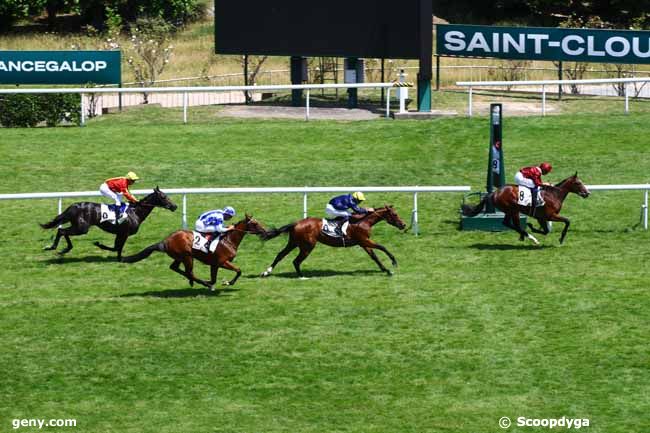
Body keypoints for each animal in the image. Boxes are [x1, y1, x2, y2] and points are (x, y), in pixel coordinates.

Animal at [40, 186, 177, 260]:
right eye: (164, 197)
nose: (174, 206)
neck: (135, 212)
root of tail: (73, 206)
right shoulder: (125, 233)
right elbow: (118, 247)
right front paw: (117, 257)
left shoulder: (120, 233)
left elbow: (116, 247)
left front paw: (100, 245)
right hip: (82, 228)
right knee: (61, 230)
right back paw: (53, 247)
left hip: (78, 226)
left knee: (63, 231)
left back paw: (64, 249)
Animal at [120, 213, 264, 290]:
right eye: (255, 224)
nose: (265, 231)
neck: (228, 240)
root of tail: (165, 241)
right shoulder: (222, 262)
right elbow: (239, 270)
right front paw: (228, 282)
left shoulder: (214, 264)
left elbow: (214, 277)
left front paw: (216, 283)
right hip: (187, 256)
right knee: (189, 272)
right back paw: (201, 282)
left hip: (180, 257)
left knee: (175, 268)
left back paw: (194, 281)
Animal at [260, 205, 404, 278]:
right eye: (395, 214)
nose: (403, 225)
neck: (363, 221)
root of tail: (296, 223)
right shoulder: (364, 240)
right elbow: (382, 247)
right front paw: (393, 262)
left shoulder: (363, 242)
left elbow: (374, 256)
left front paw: (386, 270)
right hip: (308, 246)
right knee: (296, 261)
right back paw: (302, 276)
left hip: (294, 242)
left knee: (280, 255)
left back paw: (266, 272)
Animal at [460, 173, 588, 246]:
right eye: (578, 183)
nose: (587, 193)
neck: (554, 195)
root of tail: (494, 193)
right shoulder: (550, 215)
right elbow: (567, 221)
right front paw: (561, 239)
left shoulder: (541, 217)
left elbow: (546, 230)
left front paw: (532, 227)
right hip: (513, 210)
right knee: (514, 225)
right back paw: (531, 238)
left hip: (510, 211)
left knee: (507, 223)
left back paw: (525, 236)